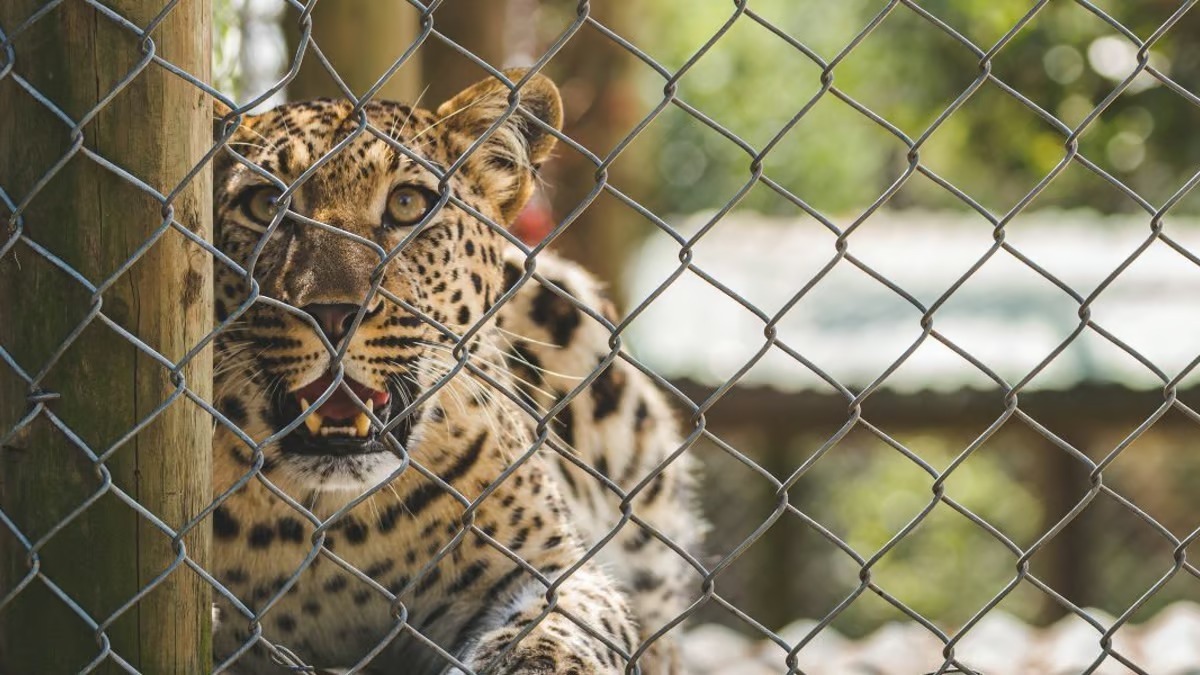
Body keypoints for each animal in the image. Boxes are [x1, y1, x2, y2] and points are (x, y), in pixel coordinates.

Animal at [208, 69, 700, 672]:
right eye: (265, 203)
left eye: (406, 203)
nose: (332, 313)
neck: (337, 523)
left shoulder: (550, 565)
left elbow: (570, 623)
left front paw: (534, 658)